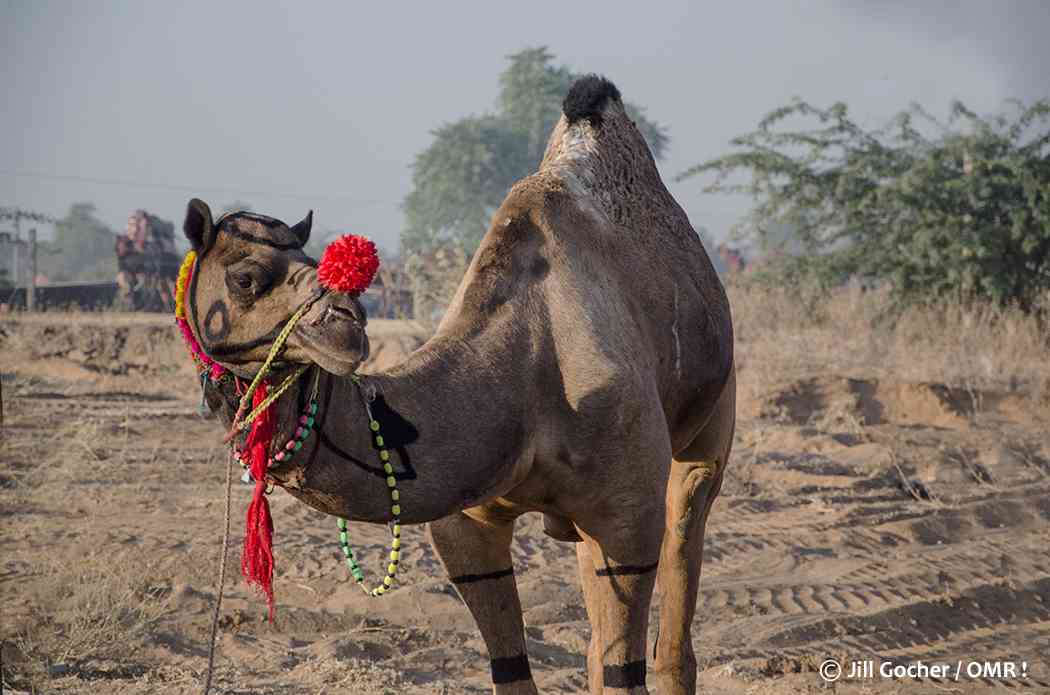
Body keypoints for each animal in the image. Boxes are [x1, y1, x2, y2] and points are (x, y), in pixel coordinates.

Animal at [182, 75, 734, 695]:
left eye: (314, 261)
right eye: (246, 277)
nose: (347, 328)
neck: (525, 377)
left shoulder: (626, 520)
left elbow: (623, 665)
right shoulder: (465, 525)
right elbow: (511, 668)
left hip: (708, 428)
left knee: (687, 522)